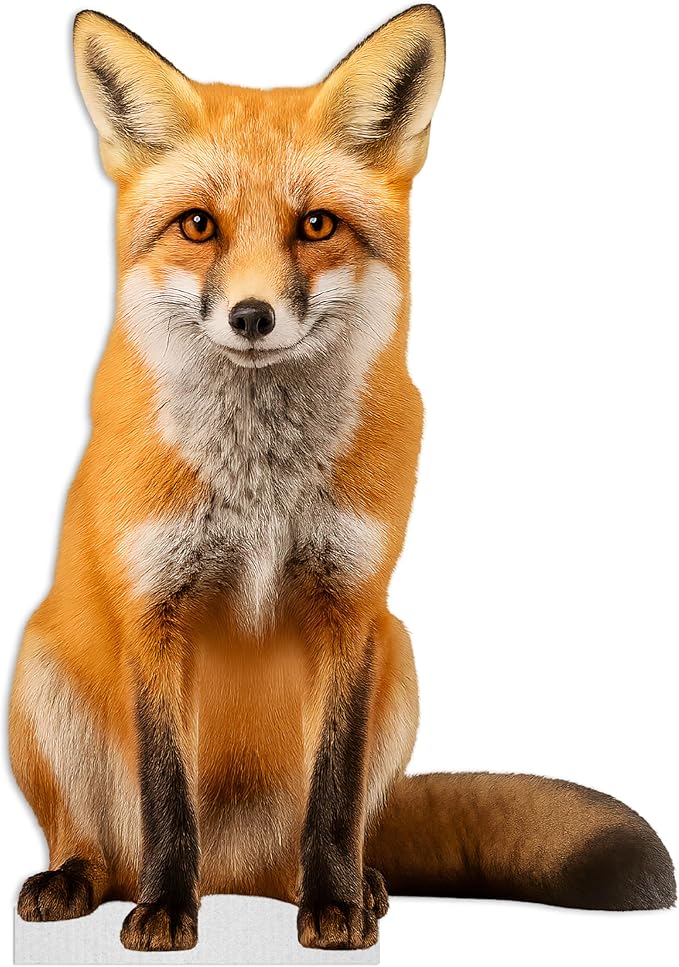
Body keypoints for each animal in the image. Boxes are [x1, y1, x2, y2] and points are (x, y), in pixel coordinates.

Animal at [9, 4, 675, 954]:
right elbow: (166, 795)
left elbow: (332, 788)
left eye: (316, 225)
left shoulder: (351, 605)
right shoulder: (153, 609)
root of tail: (238, 869)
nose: (251, 316)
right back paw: (83, 878)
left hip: (401, 659)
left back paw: (351, 885)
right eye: (198, 226)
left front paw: (333, 908)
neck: (259, 488)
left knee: (344, 828)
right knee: (104, 840)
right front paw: (167, 912)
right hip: (38, 664)